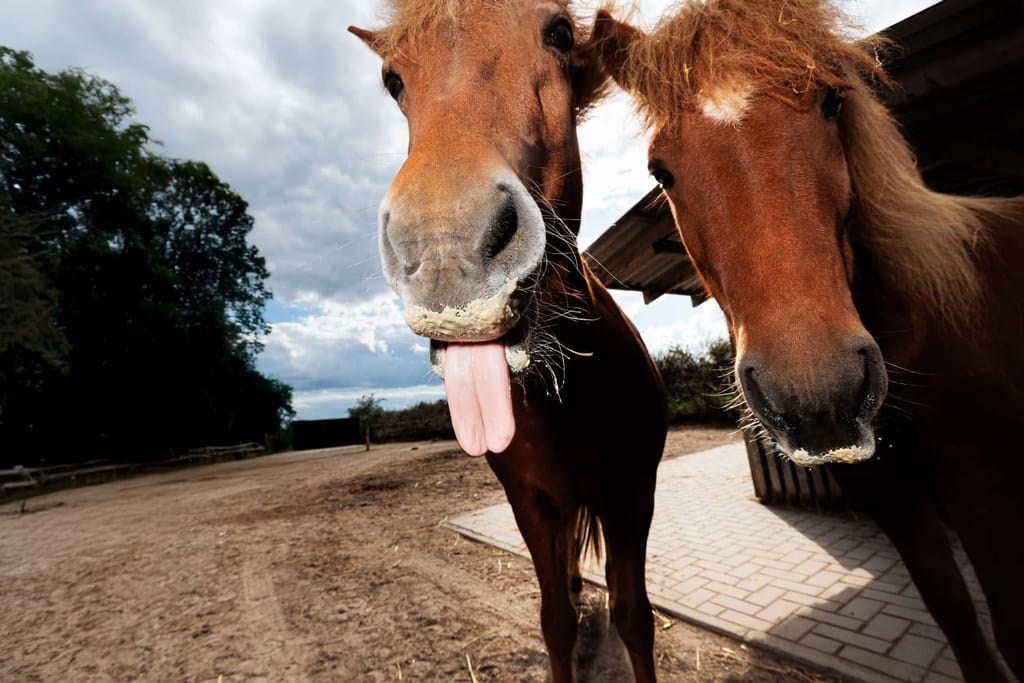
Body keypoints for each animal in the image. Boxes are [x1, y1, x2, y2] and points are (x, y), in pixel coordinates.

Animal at [350, 2, 668, 681]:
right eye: (393, 80)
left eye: (559, 33)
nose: (446, 252)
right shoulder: (532, 505)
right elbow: (556, 623)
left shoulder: (632, 494)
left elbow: (634, 617)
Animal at [591, 1, 1024, 680]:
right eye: (660, 170)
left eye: (831, 102)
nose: (818, 395)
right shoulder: (895, 500)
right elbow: (959, 620)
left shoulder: (986, 488)